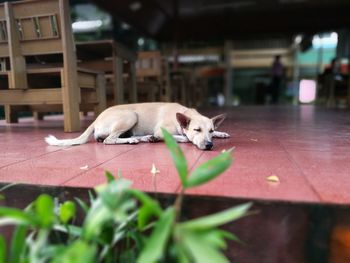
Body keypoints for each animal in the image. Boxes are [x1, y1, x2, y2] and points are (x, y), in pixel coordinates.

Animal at [45, 102, 230, 151]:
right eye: (196, 130)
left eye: (211, 131)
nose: (209, 145)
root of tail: (96, 119)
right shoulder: (162, 130)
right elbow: (183, 138)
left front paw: (221, 133)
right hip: (130, 115)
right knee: (109, 140)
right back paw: (134, 140)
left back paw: (144, 138)